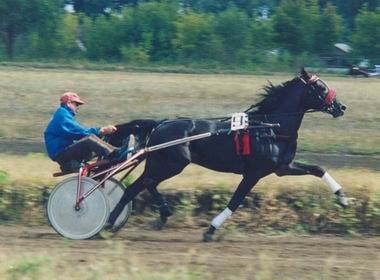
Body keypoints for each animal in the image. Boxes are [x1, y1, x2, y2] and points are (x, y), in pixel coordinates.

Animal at [106, 68, 348, 241]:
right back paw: (117, 222)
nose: (341, 107)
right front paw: (211, 229)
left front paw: (342, 198)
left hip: (161, 163)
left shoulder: (282, 168)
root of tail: (161, 123)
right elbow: (235, 201)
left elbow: (318, 169)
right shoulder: (253, 173)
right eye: (321, 87)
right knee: (143, 184)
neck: (271, 129)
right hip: (171, 164)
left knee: (139, 185)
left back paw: (129, 220)